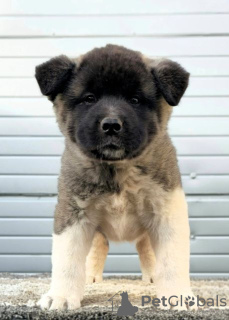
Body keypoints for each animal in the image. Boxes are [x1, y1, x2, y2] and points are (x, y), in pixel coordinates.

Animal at [35, 45, 196, 310]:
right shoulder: (73, 213)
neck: (117, 169)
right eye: (90, 98)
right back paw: (90, 277)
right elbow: (67, 258)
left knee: (145, 248)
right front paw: (61, 295)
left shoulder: (167, 211)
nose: (111, 125)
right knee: (97, 248)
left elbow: (172, 260)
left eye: (135, 100)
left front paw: (176, 295)